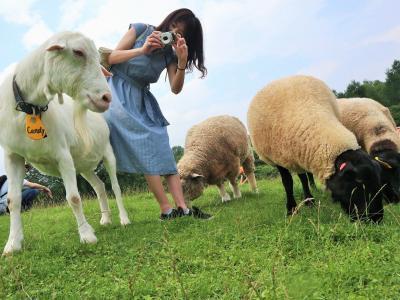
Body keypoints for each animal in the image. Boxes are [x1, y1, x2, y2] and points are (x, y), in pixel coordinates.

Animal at [0, 31, 129, 255]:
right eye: (78, 52)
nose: (106, 97)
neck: (30, 109)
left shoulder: (63, 155)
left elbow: (74, 197)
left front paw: (86, 236)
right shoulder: (12, 156)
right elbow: (13, 200)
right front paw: (12, 244)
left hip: (108, 153)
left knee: (115, 186)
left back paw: (123, 219)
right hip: (84, 166)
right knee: (100, 186)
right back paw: (105, 219)